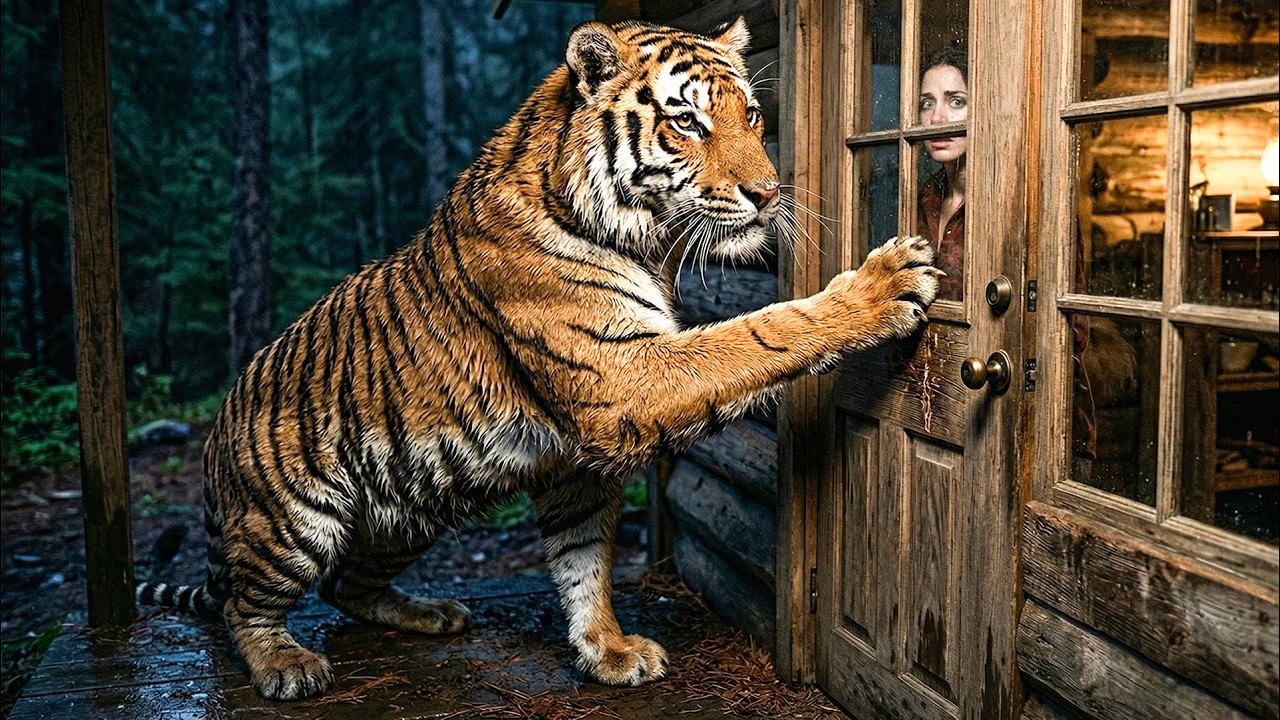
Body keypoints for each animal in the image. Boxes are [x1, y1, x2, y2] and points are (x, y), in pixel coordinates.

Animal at [134, 17, 940, 701]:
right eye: (686, 121)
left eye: (752, 117)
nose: (769, 194)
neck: (644, 241)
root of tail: (218, 425)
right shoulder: (626, 379)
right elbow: (756, 335)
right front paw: (883, 285)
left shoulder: (575, 463)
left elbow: (586, 563)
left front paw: (608, 650)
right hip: (295, 521)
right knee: (244, 604)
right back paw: (284, 665)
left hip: (407, 513)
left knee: (346, 586)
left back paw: (430, 614)